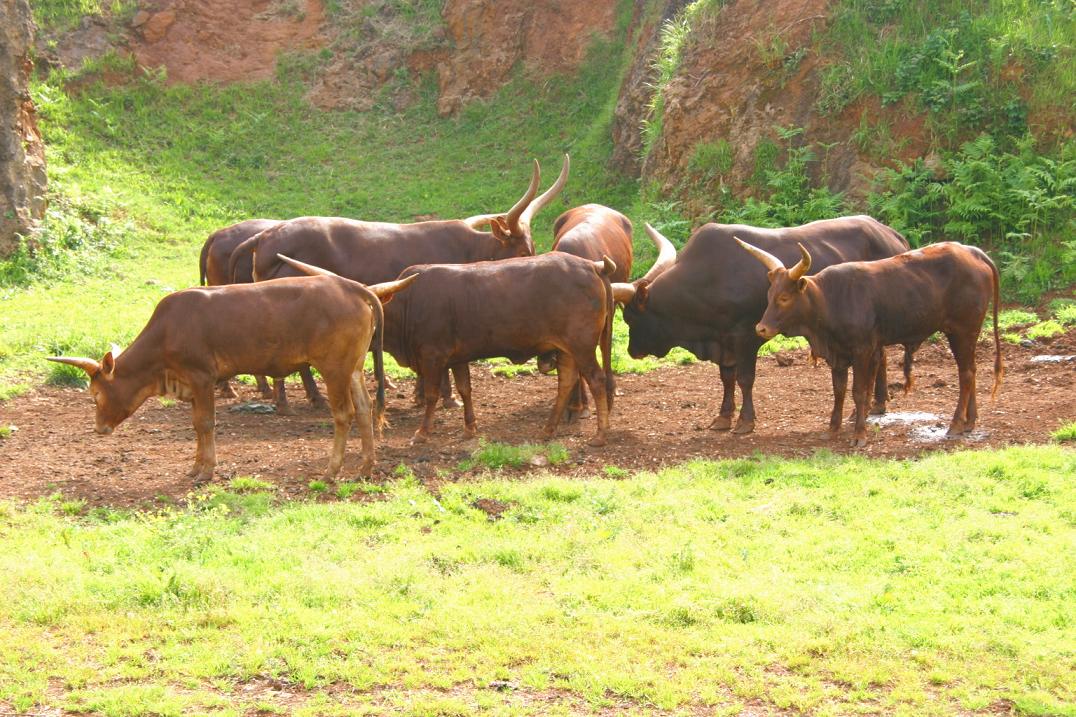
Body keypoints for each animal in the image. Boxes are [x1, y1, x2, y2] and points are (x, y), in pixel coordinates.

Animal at [47, 268, 415, 480]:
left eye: (96, 394)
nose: (99, 428)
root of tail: (355, 288)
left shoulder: (202, 377)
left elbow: (205, 423)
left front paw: (206, 470)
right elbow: (197, 424)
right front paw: (196, 466)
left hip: (334, 367)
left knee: (344, 414)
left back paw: (331, 469)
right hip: (352, 368)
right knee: (365, 409)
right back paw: (365, 466)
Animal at [279, 248, 615, 443]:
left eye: (372, 309)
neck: (410, 303)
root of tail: (593, 266)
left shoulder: (433, 357)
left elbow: (431, 394)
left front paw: (423, 432)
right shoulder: (457, 357)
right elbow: (465, 389)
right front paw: (470, 428)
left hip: (582, 345)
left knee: (596, 380)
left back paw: (600, 434)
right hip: (566, 349)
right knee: (567, 381)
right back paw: (548, 429)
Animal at [611, 215, 912, 432]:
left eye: (630, 317)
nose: (632, 351)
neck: (707, 278)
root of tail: (893, 235)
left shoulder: (746, 337)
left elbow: (745, 379)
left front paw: (745, 421)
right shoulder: (724, 342)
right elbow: (727, 379)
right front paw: (723, 417)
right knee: (881, 356)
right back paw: (878, 403)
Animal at [740, 236, 998, 443]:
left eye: (784, 297)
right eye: (769, 295)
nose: (761, 328)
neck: (830, 299)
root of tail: (972, 252)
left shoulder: (862, 350)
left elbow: (859, 391)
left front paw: (859, 434)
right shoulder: (838, 354)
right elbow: (839, 391)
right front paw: (832, 429)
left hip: (963, 331)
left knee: (966, 375)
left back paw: (956, 424)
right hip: (967, 334)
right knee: (971, 371)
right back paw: (970, 422)